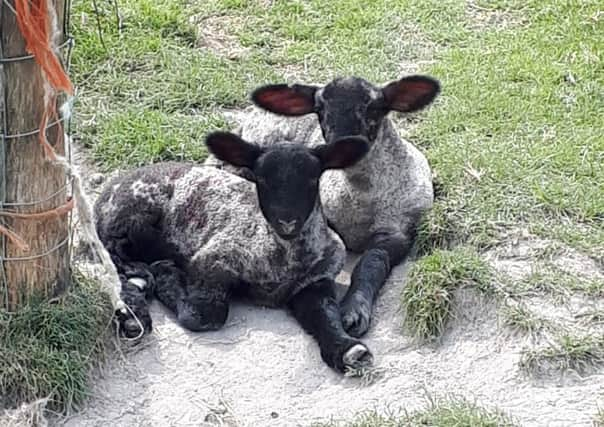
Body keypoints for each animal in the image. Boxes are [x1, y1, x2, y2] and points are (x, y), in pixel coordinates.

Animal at [92, 132, 372, 372]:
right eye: (261, 179)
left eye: (313, 180)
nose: (287, 222)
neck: (284, 258)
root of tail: (108, 189)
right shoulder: (212, 260)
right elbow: (205, 316)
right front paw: (167, 276)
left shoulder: (314, 281)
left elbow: (325, 315)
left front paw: (347, 350)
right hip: (133, 219)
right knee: (114, 258)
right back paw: (135, 308)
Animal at [206, 75, 438, 340]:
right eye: (320, 109)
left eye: (374, 108)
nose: (342, 145)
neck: (361, 200)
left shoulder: (397, 232)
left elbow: (371, 263)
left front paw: (354, 311)